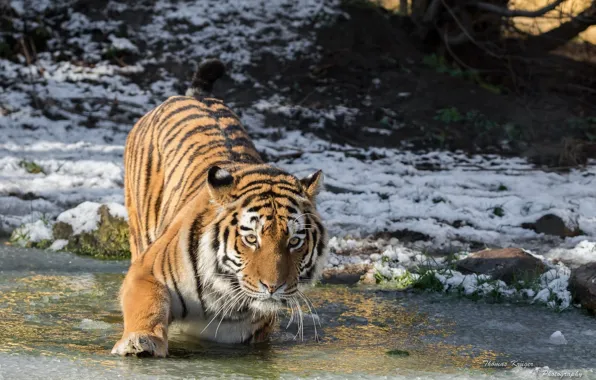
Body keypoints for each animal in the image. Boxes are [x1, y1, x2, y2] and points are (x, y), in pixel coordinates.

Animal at [109, 58, 328, 356]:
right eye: (251, 239)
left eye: (294, 242)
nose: (273, 287)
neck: (223, 293)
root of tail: (194, 96)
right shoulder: (146, 272)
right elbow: (148, 307)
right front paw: (140, 341)